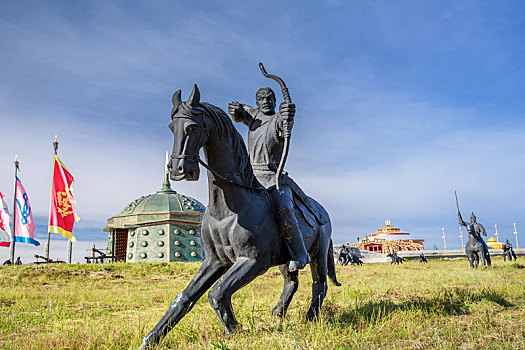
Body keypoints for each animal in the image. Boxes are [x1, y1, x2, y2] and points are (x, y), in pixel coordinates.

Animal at [137, 84, 338, 348]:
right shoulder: (215, 261)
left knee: (319, 284)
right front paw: (151, 338)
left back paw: (311, 317)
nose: (178, 170)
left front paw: (234, 330)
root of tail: (322, 210)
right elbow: (185, 297)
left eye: (191, 127)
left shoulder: (254, 261)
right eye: (172, 127)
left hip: (318, 252)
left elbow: (217, 293)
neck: (228, 210)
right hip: (285, 259)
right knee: (291, 282)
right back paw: (278, 314)